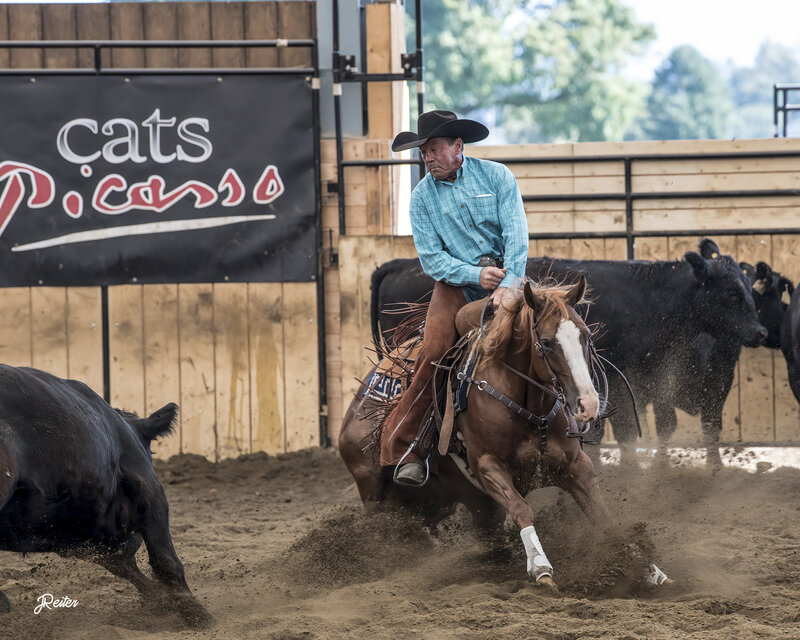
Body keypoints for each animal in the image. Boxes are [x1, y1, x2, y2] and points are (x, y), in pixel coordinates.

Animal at [0, 364, 211, 624]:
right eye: (149, 451)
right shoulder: (150, 490)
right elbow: (164, 558)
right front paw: (196, 614)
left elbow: (128, 567)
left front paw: (162, 603)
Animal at [338, 276, 668, 592]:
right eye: (546, 342)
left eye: (585, 334)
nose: (588, 404)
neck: (530, 409)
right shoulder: (487, 467)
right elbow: (522, 508)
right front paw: (541, 568)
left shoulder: (576, 467)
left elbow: (605, 518)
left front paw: (650, 570)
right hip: (374, 490)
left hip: (456, 503)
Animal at [372, 240, 764, 464]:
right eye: (731, 292)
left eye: (750, 287)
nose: (760, 331)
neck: (648, 297)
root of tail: (394, 264)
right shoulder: (621, 382)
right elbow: (623, 434)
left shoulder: (647, 384)